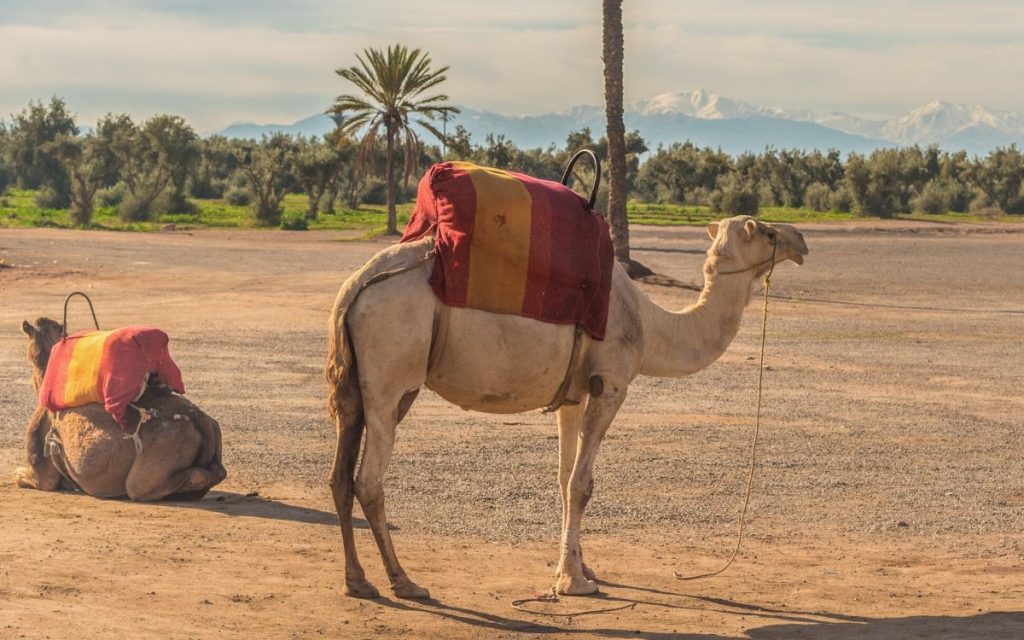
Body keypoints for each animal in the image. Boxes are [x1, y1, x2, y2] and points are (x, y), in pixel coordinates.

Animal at [327, 216, 806, 598]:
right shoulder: (611, 384)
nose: (800, 240)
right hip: (391, 375)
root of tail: (354, 288)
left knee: (340, 475)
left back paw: (358, 581)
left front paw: (579, 565)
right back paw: (403, 581)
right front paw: (574, 582)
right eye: (766, 232)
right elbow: (582, 484)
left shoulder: (573, 395)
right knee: (369, 480)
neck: (651, 326)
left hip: (357, 386)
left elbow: (563, 478)